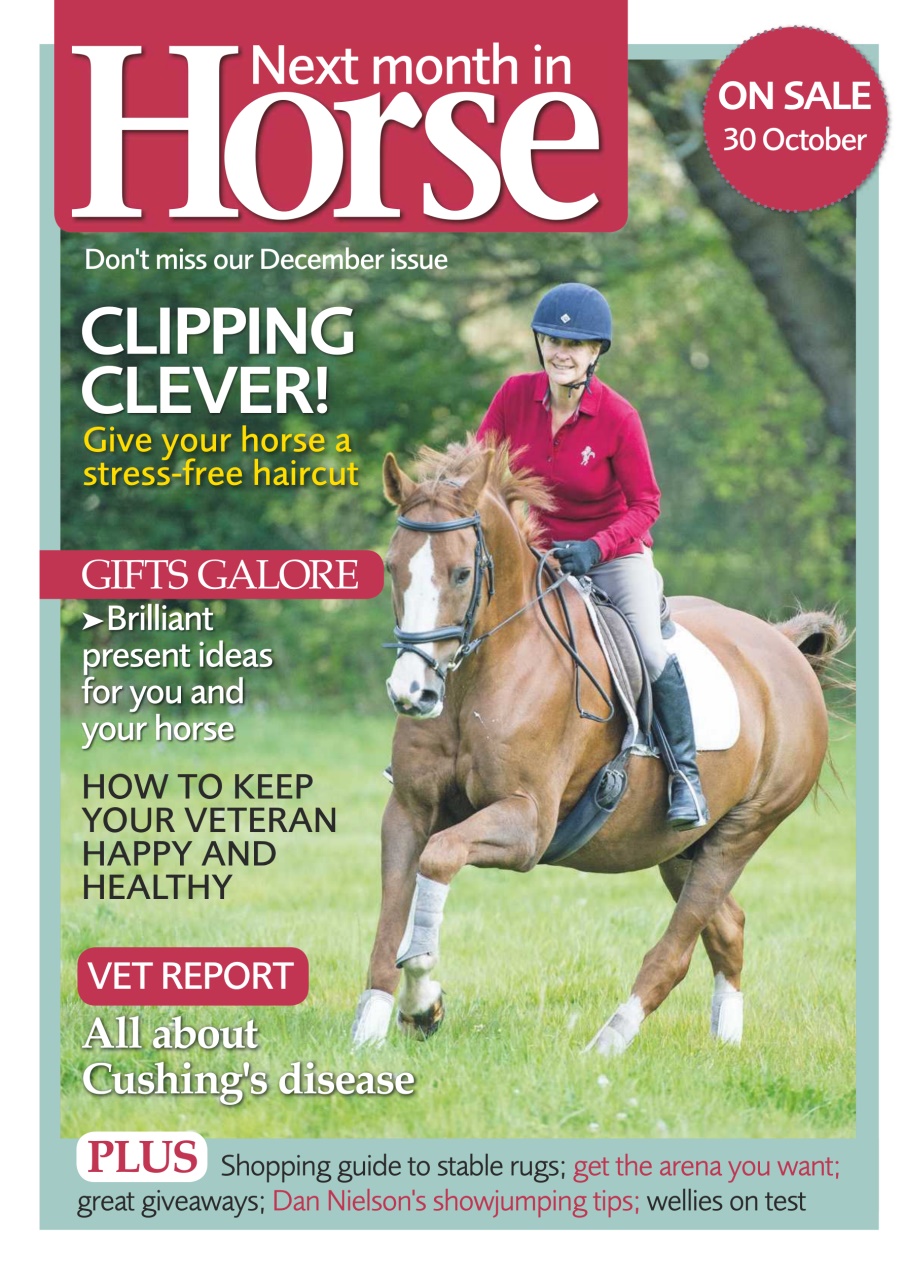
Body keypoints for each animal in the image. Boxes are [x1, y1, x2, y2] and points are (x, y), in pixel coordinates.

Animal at [351, 439, 848, 1056]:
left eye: (462, 573)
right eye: (392, 568)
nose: (411, 692)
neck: (478, 677)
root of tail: (780, 646)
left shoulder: (528, 826)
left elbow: (438, 859)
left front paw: (423, 1002)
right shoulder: (410, 810)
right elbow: (391, 920)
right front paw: (372, 1029)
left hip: (741, 832)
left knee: (676, 951)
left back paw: (609, 1042)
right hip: (678, 848)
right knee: (727, 925)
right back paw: (726, 1042)